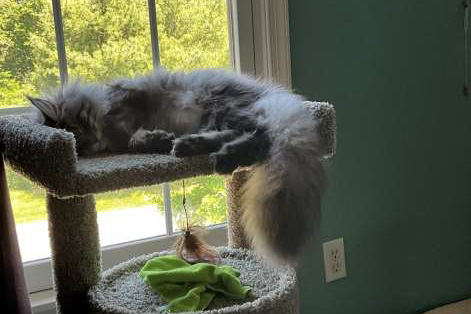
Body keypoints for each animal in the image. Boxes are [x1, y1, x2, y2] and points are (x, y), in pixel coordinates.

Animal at [28, 68, 324, 264]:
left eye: (78, 126)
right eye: (77, 145)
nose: (92, 139)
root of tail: (271, 94)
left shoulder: (128, 105)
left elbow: (133, 128)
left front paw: (156, 137)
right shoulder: (124, 136)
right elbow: (137, 140)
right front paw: (158, 139)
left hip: (218, 106)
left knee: (262, 134)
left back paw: (210, 152)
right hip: (218, 118)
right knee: (253, 137)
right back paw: (195, 147)